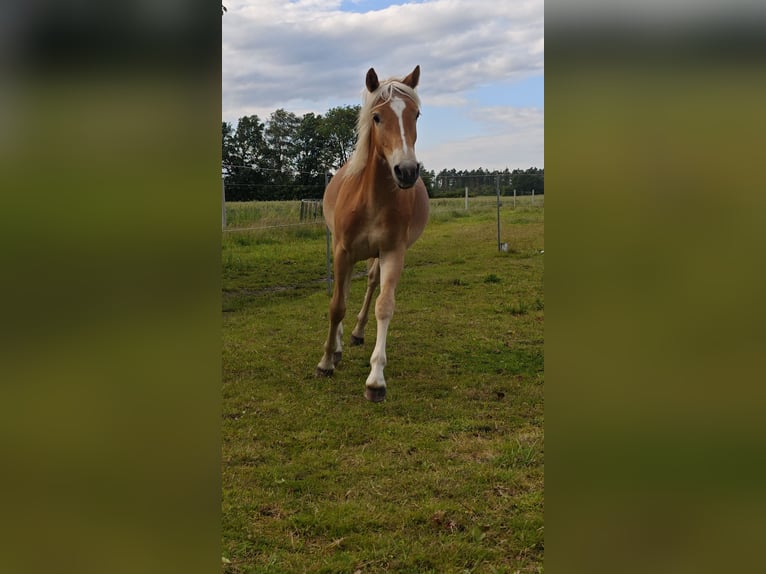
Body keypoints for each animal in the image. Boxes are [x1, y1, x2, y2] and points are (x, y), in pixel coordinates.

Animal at [316, 65, 428, 402]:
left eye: (416, 114)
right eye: (377, 117)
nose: (407, 171)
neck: (372, 199)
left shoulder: (393, 253)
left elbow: (384, 307)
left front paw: (376, 379)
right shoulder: (342, 251)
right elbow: (336, 305)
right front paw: (326, 361)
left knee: (369, 286)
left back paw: (356, 333)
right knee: (343, 295)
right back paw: (338, 346)